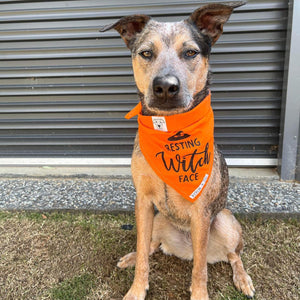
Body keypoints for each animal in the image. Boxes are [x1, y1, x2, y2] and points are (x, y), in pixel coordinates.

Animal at [99, 2, 254, 300]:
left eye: (191, 52)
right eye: (146, 53)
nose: (165, 87)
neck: (168, 130)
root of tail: (183, 248)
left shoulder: (202, 212)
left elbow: (200, 270)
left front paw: (199, 294)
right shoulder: (143, 201)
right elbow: (144, 254)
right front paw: (137, 289)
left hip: (224, 221)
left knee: (233, 255)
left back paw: (242, 279)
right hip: (159, 219)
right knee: (151, 245)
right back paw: (133, 256)